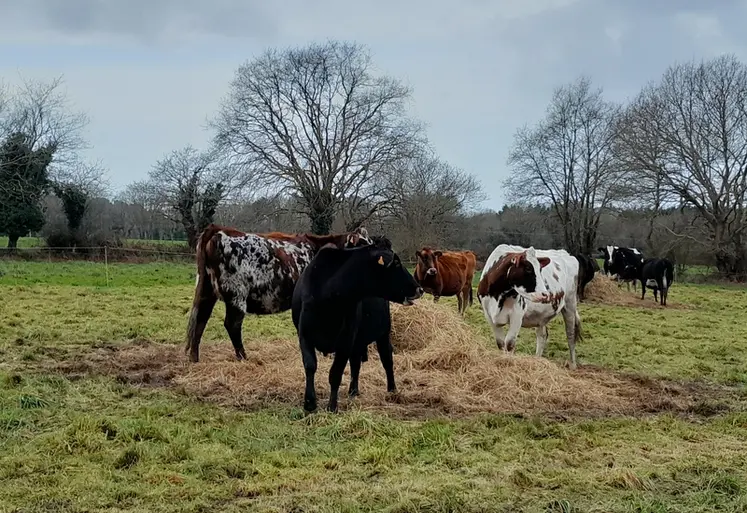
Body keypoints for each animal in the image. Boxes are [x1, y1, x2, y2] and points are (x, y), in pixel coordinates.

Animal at [184, 224, 373, 363]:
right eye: (362, 244)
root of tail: (218, 229)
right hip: (236, 296)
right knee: (232, 325)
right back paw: (243, 357)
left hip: (207, 292)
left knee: (200, 319)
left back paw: (194, 358)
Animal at [292, 241, 423, 413]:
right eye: (396, 263)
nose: (419, 288)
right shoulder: (304, 334)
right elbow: (310, 366)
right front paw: (309, 403)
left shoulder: (346, 338)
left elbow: (336, 372)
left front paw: (332, 406)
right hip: (358, 340)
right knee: (355, 363)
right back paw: (353, 390)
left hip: (383, 333)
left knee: (387, 359)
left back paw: (392, 389)